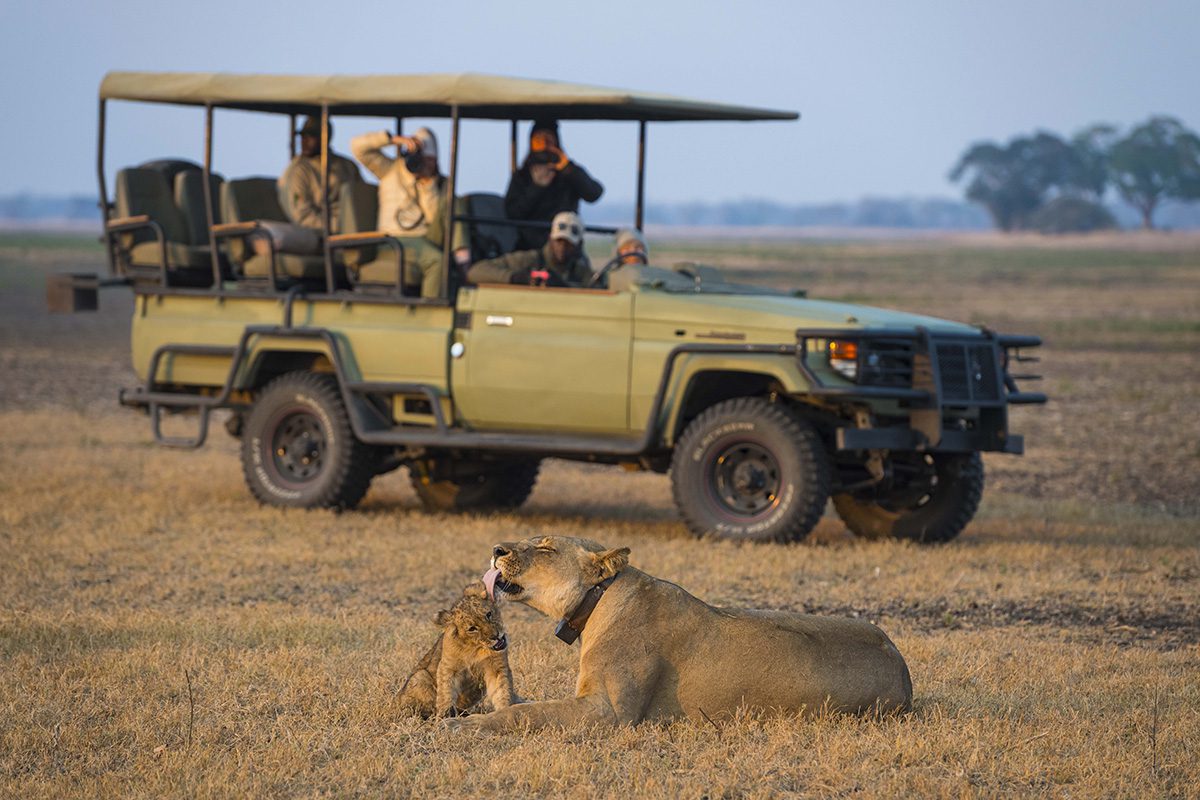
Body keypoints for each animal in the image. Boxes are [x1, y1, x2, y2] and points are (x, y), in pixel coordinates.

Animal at [397, 581, 517, 718]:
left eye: (488, 615)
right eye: (472, 628)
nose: (495, 636)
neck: (475, 648)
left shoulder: (497, 668)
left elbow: (502, 691)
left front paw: (505, 711)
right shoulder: (448, 667)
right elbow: (446, 692)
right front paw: (445, 716)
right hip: (420, 676)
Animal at [448, 536, 911, 732]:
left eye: (545, 547)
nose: (497, 549)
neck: (598, 600)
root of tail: (903, 668)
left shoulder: (610, 713)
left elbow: (528, 713)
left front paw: (467, 727)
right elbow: (523, 703)